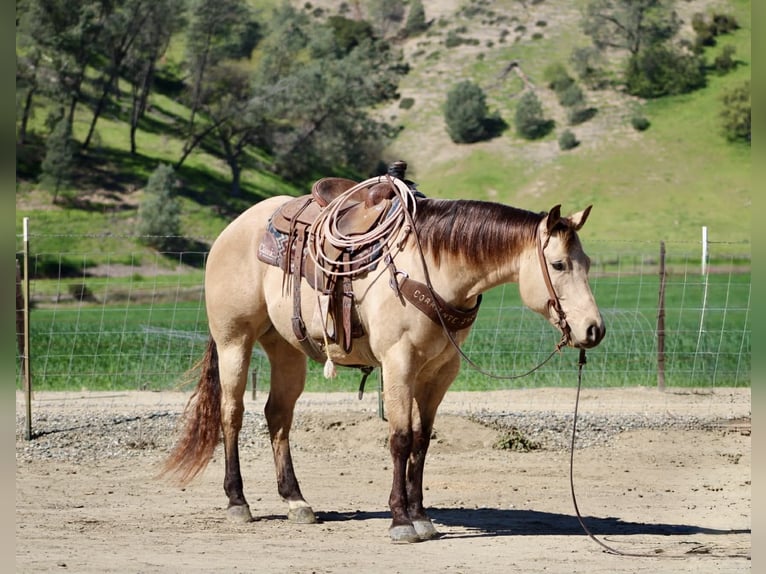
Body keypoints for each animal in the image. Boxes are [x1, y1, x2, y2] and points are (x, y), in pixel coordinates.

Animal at [162, 173, 605, 543]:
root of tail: (231, 230)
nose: (593, 330)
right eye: (558, 264)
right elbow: (400, 438)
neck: (433, 266)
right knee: (232, 413)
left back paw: (296, 501)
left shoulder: (440, 372)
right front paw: (401, 521)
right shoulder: (398, 364)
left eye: (587, 263)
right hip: (233, 340)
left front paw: (422, 516)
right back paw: (238, 502)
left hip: (286, 350)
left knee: (278, 415)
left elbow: (422, 441)